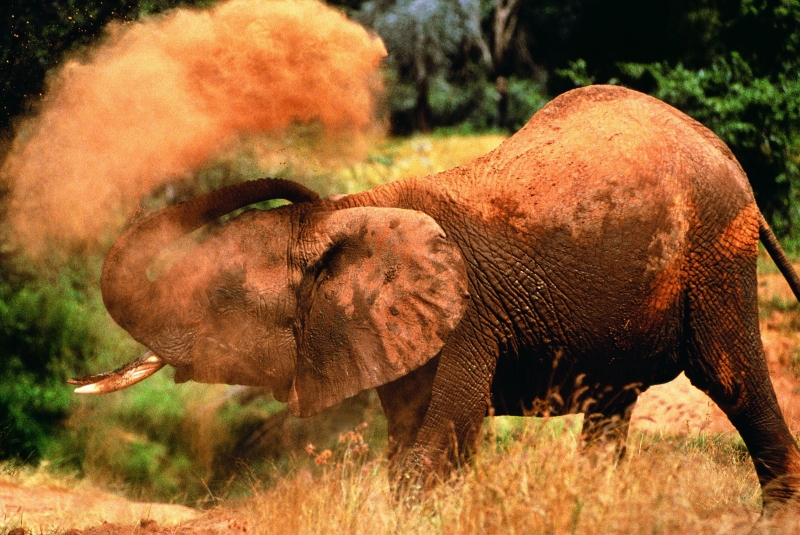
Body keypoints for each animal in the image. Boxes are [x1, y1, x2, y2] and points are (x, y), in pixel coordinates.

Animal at [69, 86, 800, 516]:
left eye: (218, 298)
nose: (302, 189)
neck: (357, 214)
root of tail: (725, 153)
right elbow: (406, 438)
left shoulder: (466, 318)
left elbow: (445, 430)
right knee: (609, 407)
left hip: (716, 255)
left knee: (733, 378)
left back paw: (775, 514)